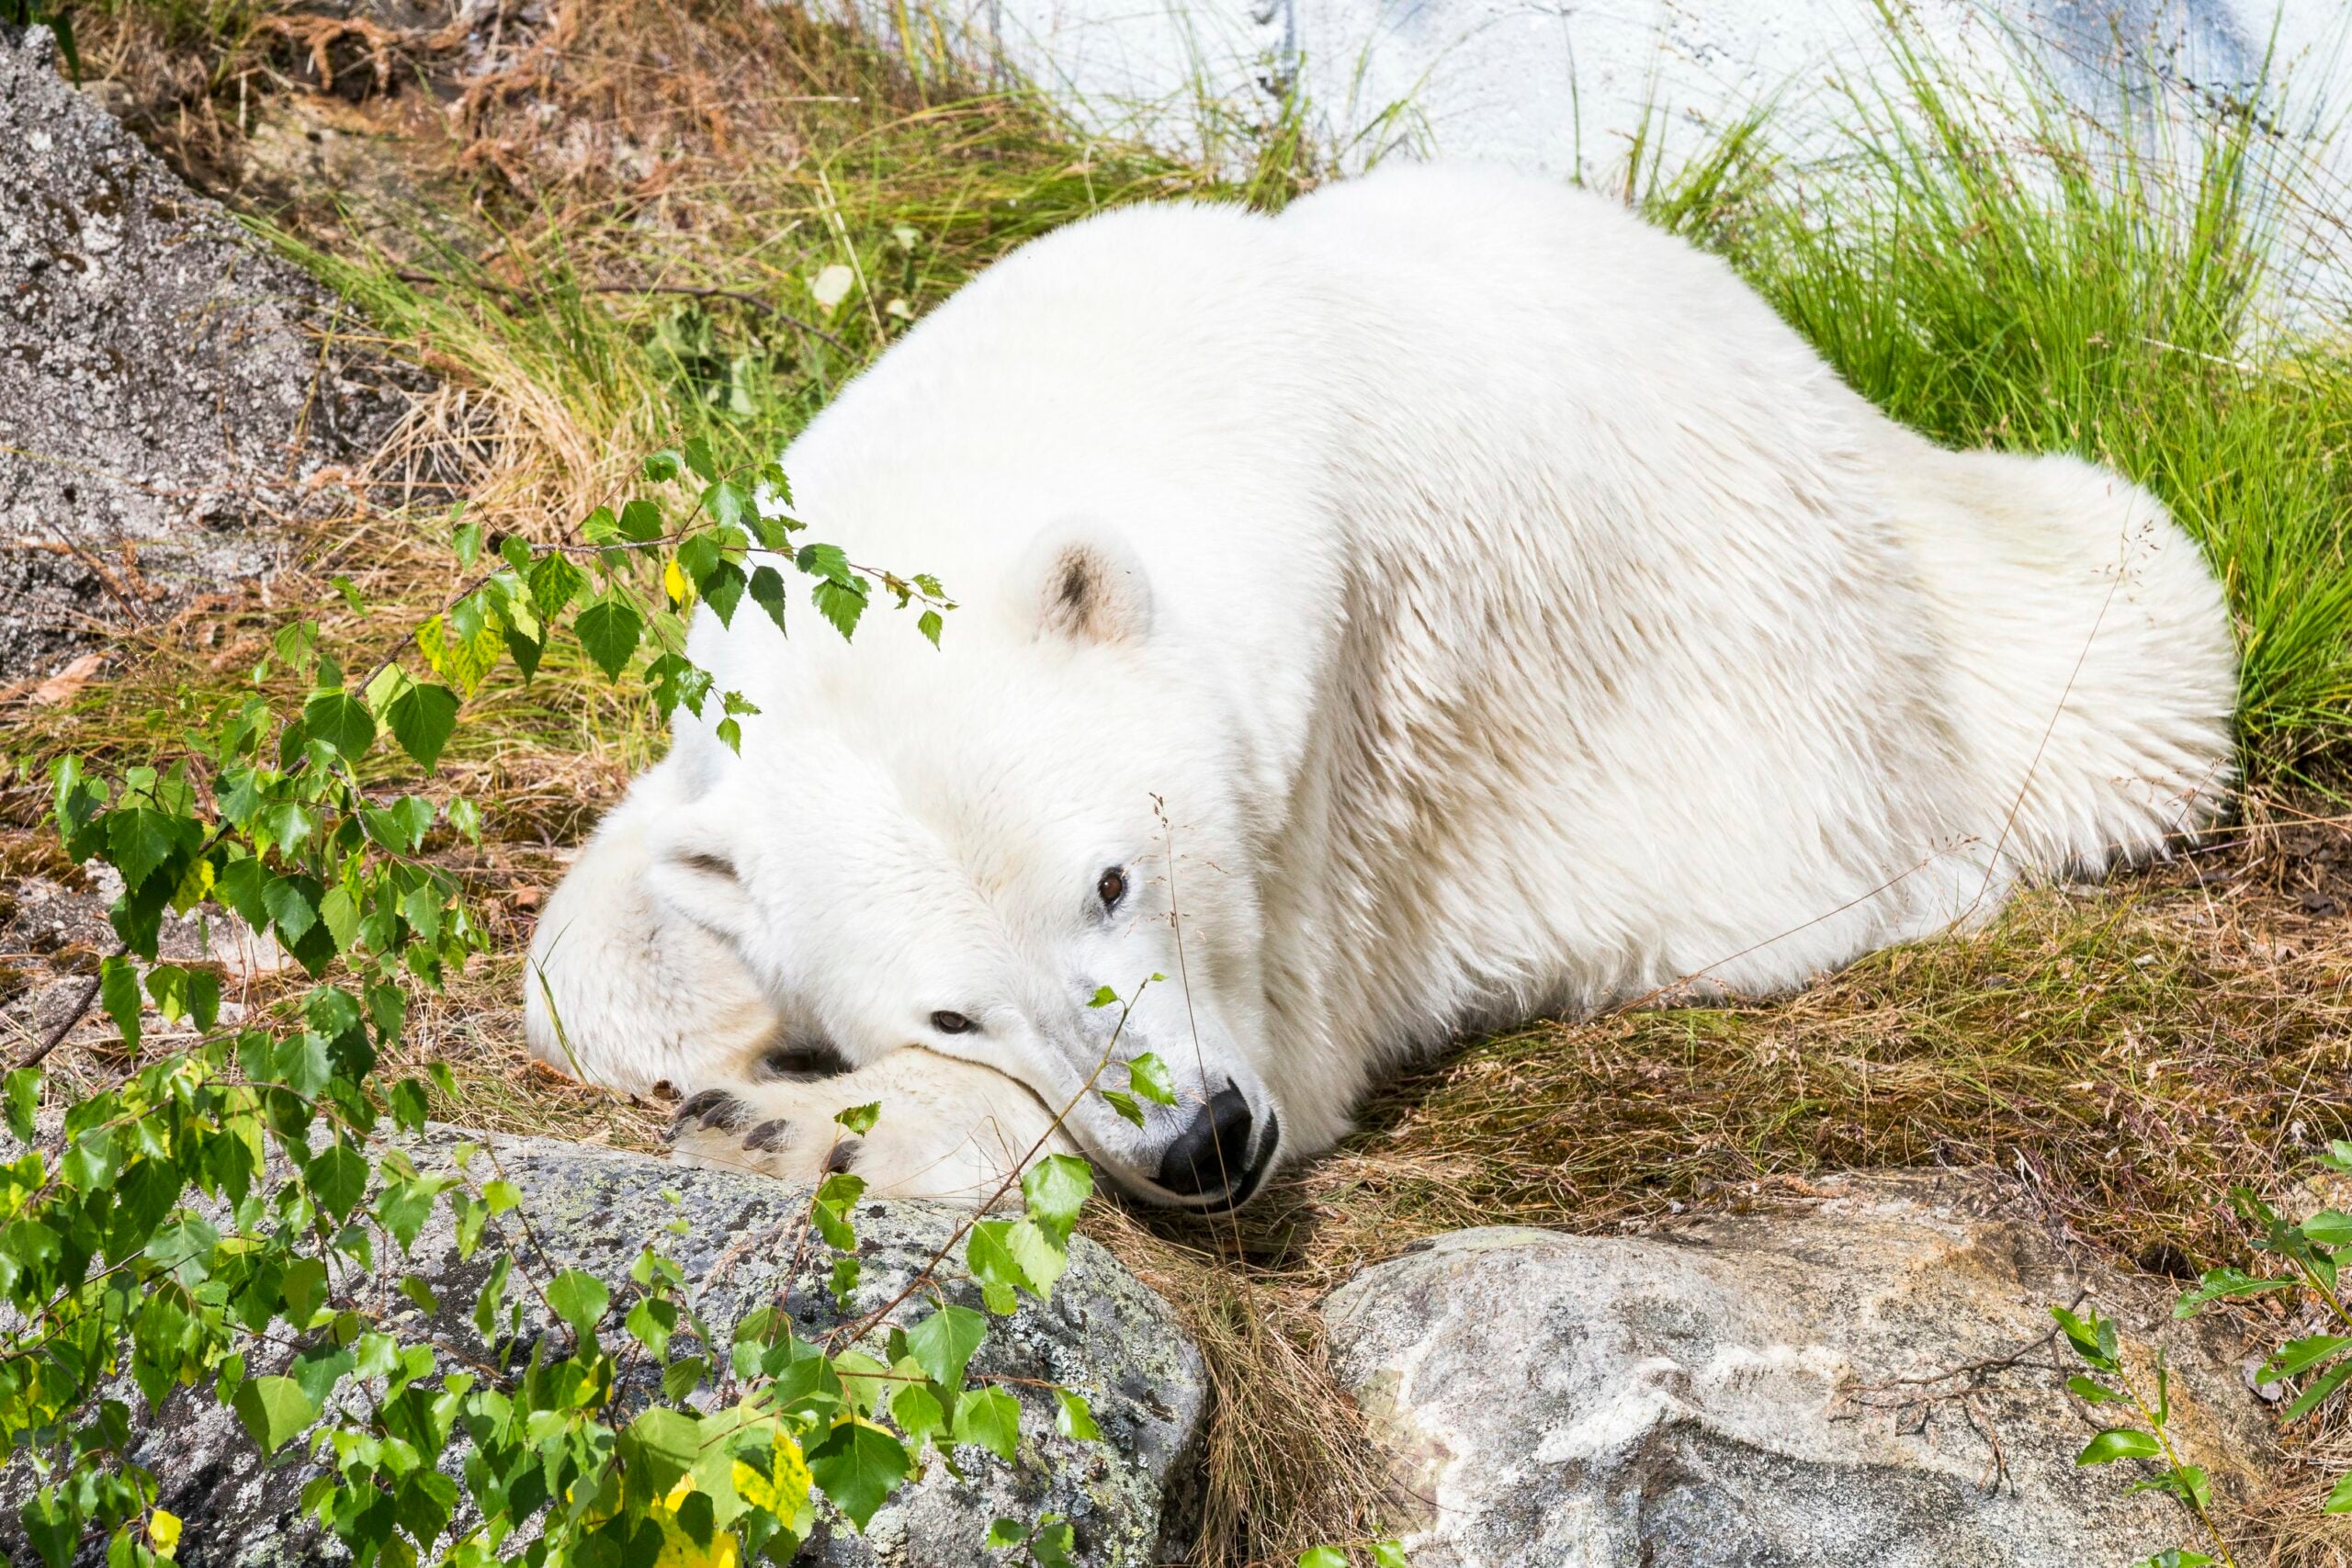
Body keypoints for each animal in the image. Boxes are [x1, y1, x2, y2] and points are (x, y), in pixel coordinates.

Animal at [523, 162, 2236, 1212]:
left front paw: (800, 1121)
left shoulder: (1328, 737)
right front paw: (714, 1037)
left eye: (1112, 877)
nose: (1203, 1140)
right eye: (946, 1000)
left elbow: (1299, 1035)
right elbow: (597, 938)